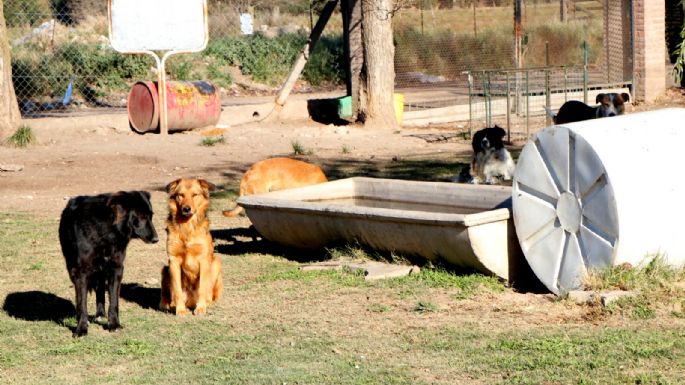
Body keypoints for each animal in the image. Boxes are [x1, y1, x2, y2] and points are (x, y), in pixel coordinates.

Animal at [57, 190, 159, 334]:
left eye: (150, 216)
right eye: (141, 216)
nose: (156, 239)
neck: (107, 230)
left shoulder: (116, 269)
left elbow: (114, 301)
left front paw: (114, 324)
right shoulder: (81, 272)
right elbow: (82, 302)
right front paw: (81, 328)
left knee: (100, 289)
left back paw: (100, 314)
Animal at [160, 177, 222, 316]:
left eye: (195, 195)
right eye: (181, 195)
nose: (186, 209)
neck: (187, 227)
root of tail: (190, 301)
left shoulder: (204, 260)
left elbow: (202, 288)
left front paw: (201, 308)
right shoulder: (173, 261)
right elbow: (177, 289)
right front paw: (180, 310)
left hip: (215, 263)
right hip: (165, 270)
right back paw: (166, 304)